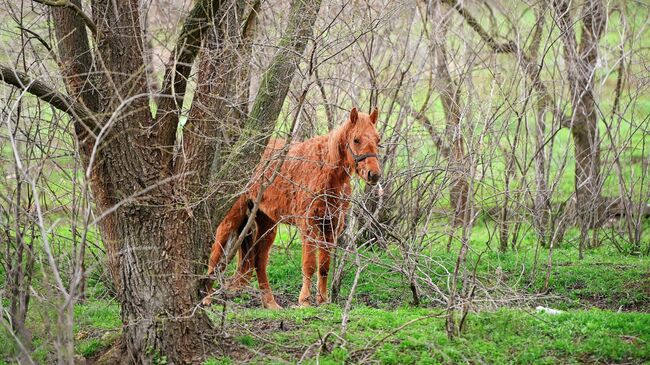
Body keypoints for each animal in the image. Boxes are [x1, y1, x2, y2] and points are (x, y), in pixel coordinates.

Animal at [202, 107, 380, 308]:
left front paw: (323, 301)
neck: (324, 169)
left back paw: (271, 304)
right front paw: (305, 301)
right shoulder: (308, 225)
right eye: (356, 140)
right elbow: (309, 265)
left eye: (378, 140)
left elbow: (324, 266)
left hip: (267, 224)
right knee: (215, 254)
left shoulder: (331, 226)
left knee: (259, 262)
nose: (374, 174)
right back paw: (206, 298)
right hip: (232, 217)